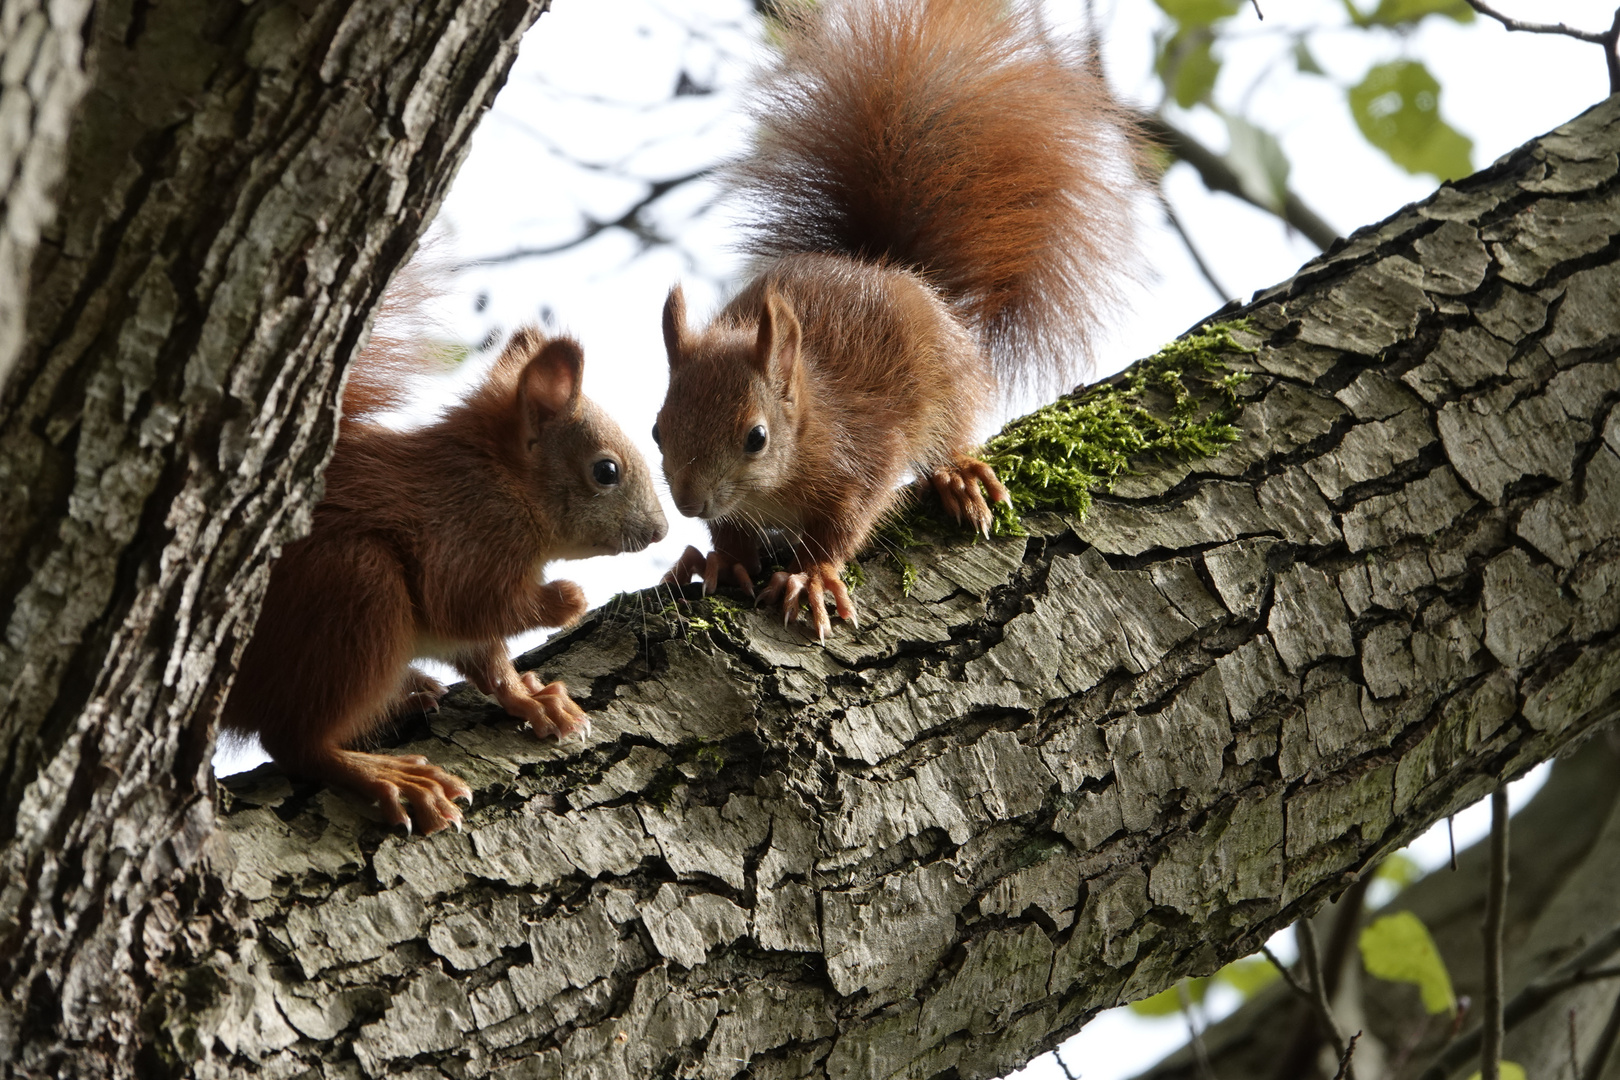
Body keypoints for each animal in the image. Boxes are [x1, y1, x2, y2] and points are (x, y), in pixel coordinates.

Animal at [221, 312, 664, 835]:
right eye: (606, 471)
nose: (661, 530)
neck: (502, 479)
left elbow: (487, 657)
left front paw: (533, 699)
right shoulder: (466, 541)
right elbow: (470, 608)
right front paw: (569, 598)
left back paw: (407, 693)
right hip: (355, 588)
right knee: (293, 742)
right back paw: (390, 777)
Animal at [657, 0, 1140, 641]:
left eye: (756, 437)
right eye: (657, 430)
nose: (688, 502)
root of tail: (887, 266)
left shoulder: (862, 454)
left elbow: (847, 523)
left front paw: (814, 576)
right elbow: (731, 532)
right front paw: (722, 559)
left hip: (946, 380)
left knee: (952, 433)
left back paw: (957, 475)